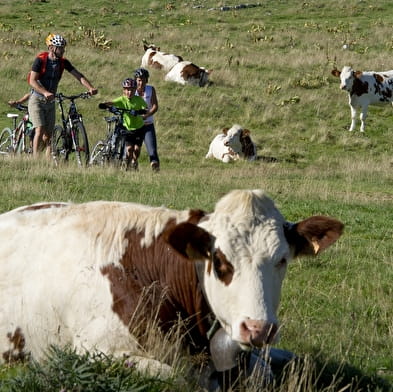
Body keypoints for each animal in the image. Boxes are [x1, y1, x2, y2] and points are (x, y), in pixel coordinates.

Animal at [0, 190, 344, 388]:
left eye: (282, 259)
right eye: (220, 259)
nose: (258, 329)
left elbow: (263, 373)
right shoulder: (91, 351)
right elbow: (176, 379)